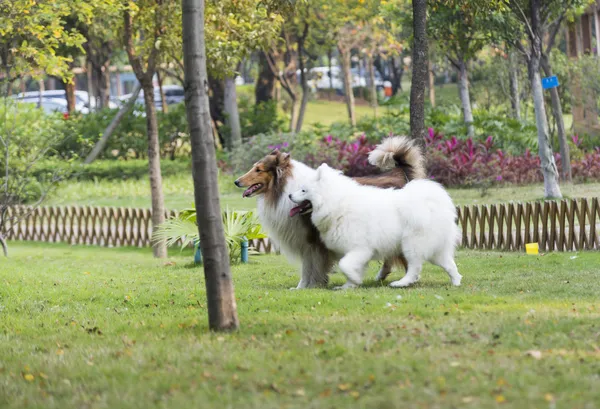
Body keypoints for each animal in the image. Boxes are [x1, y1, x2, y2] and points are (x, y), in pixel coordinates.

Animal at [288, 162, 462, 286]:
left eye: (303, 190)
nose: (289, 195)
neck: (337, 203)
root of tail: (431, 202)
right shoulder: (356, 252)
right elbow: (350, 268)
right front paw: (349, 286)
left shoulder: (360, 248)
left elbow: (345, 265)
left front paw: (354, 281)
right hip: (435, 249)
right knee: (449, 264)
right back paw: (456, 282)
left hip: (411, 245)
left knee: (415, 267)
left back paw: (401, 283)